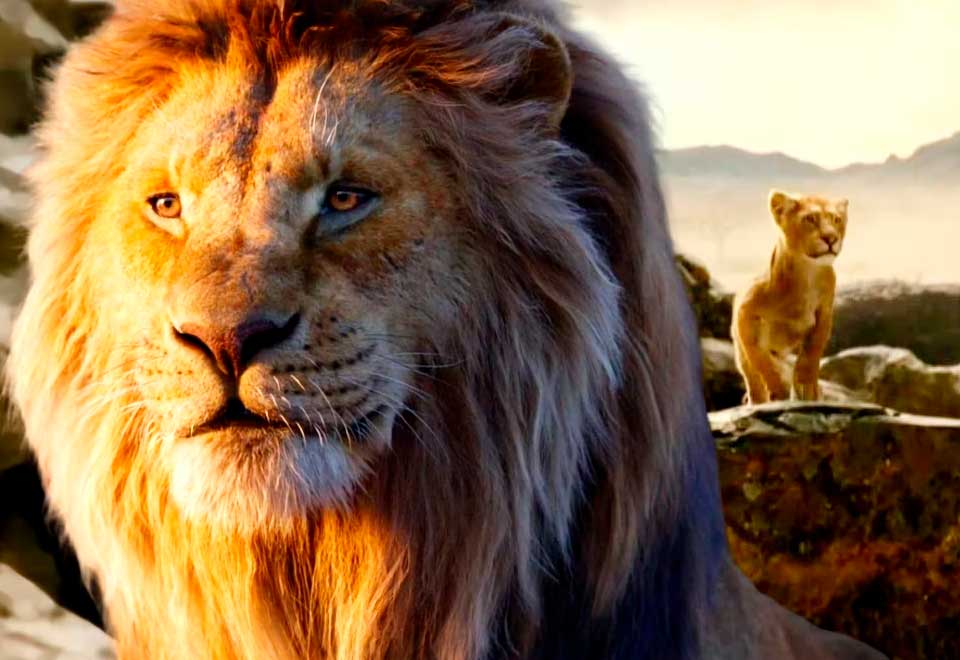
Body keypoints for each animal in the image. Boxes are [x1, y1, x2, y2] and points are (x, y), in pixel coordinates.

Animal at [733, 190, 849, 404]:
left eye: (836, 219)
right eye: (810, 219)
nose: (831, 238)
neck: (806, 274)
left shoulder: (824, 313)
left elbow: (811, 354)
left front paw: (806, 387)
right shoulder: (745, 312)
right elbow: (760, 359)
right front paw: (778, 389)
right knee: (752, 377)